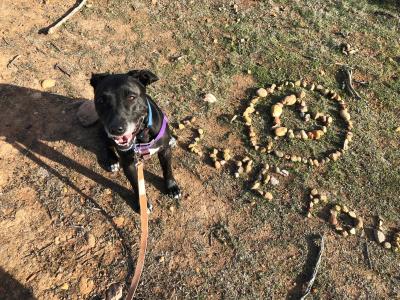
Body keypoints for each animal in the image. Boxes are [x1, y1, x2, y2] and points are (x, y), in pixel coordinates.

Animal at [90, 69, 181, 211]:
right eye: (101, 100)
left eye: (131, 97)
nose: (116, 129)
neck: (141, 135)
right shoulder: (129, 164)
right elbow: (136, 185)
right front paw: (143, 204)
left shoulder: (165, 151)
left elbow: (167, 169)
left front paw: (172, 187)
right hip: (103, 130)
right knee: (107, 143)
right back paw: (112, 160)